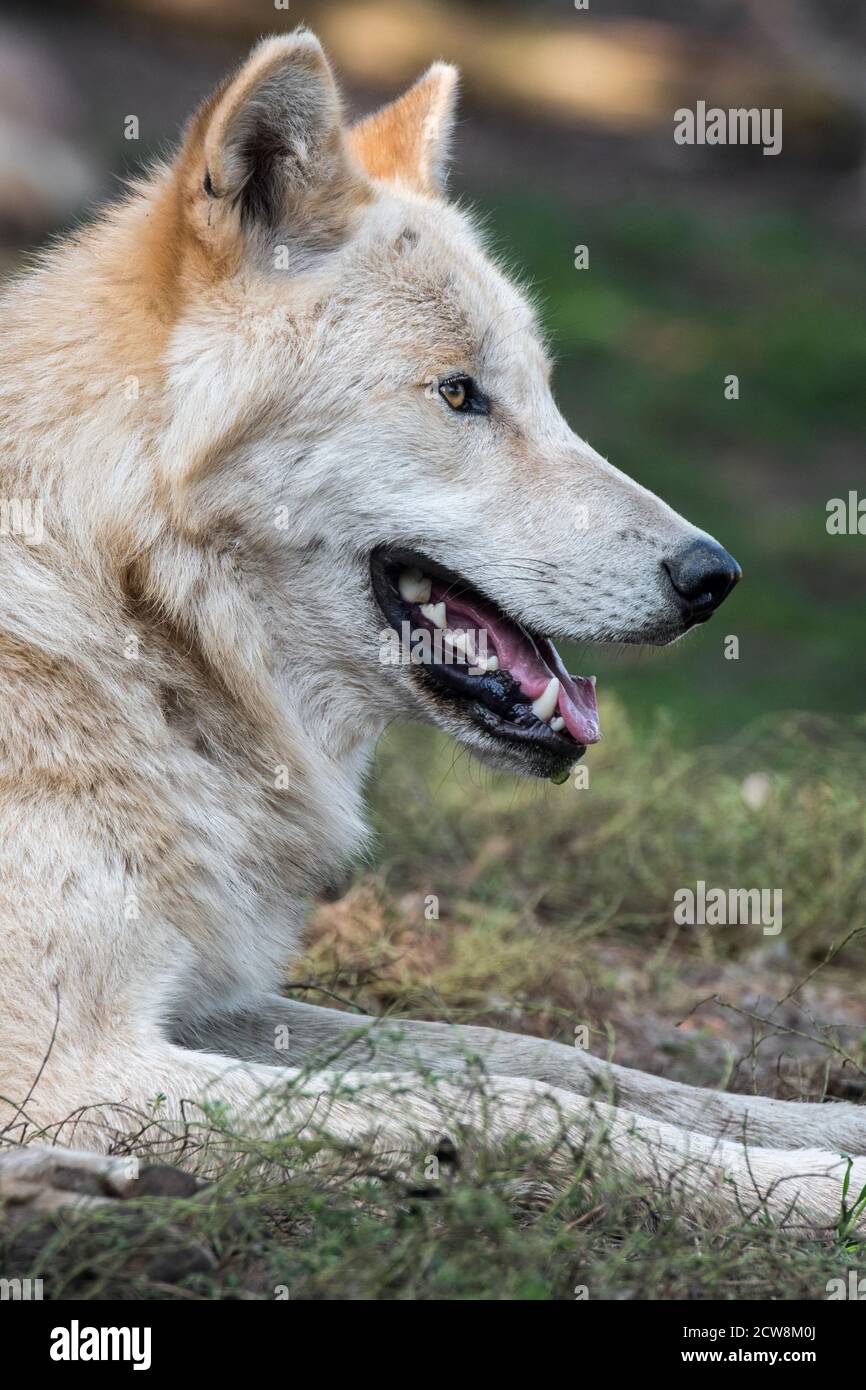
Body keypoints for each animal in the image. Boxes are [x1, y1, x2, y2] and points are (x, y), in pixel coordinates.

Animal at [0, 32, 861, 1228]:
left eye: (544, 392)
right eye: (458, 395)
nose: (713, 576)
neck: (122, 604)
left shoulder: (211, 1003)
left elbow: (546, 1058)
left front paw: (822, 1131)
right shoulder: (75, 1064)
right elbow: (512, 1104)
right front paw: (801, 1188)